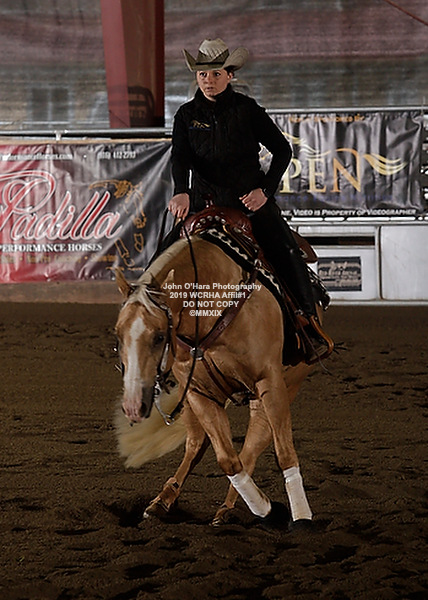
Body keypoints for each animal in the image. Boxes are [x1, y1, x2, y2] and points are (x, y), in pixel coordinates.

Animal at [114, 226, 321, 528]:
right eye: (118, 335)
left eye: (159, 336)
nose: (132, 406)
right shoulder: (198, 392)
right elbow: (227, 459)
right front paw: (268, 509)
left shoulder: (269, 382)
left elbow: (282, 452)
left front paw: (298, 515)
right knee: (199, 445)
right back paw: (163, 501)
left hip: (283, 388)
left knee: (252, 449)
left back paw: (230, 508)